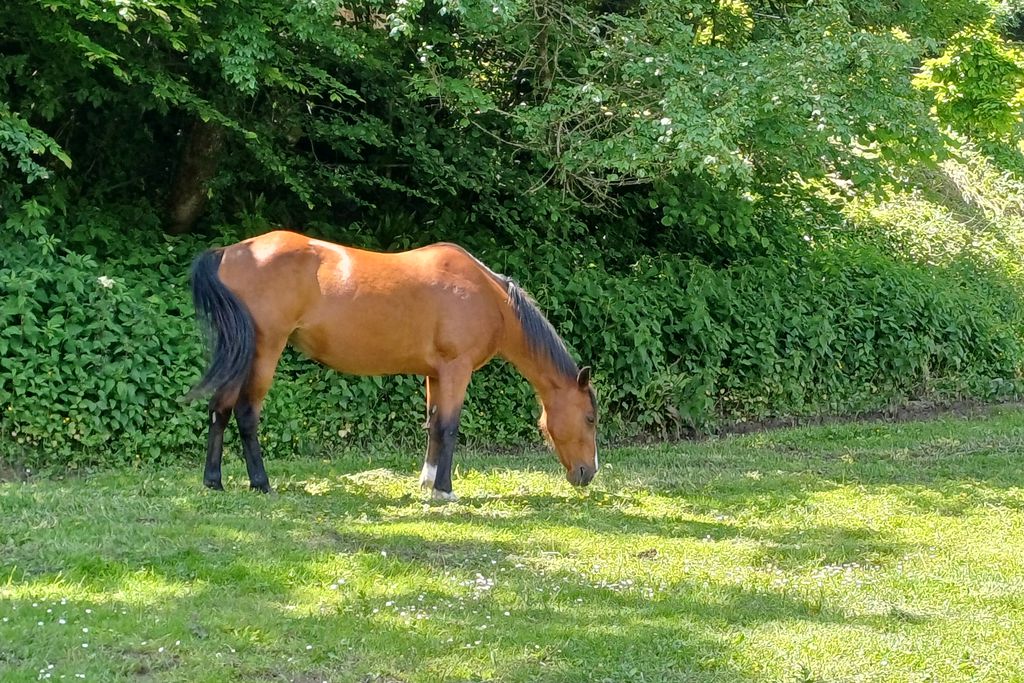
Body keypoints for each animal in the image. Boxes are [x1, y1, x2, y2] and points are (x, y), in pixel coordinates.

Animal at [188, 229, 598, 497]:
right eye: (591, 418)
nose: (588, 473)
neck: (488, 296)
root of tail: (230, 251)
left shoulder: (436, 374)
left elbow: (434, 425)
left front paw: (427, 481)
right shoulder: (456, 369)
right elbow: (450, 427)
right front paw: (444, 490)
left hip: (240, 352)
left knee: (220, 409)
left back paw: (214, 481)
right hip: (265, 350)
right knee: (246, 414)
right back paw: (261, 483)